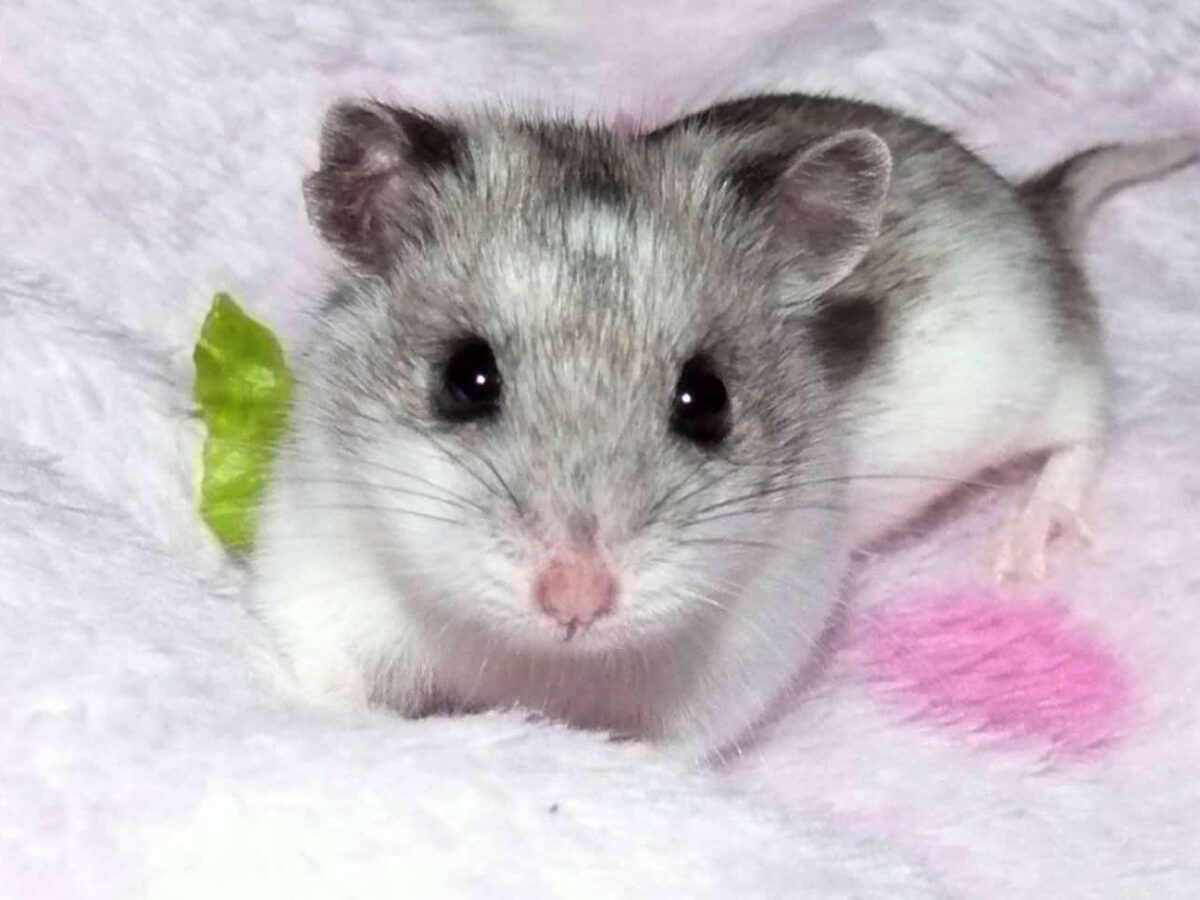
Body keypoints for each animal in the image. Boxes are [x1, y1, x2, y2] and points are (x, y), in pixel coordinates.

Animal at [251, 94, 1197, 756]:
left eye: (707, 400)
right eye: (464, 378)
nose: (576, 601)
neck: (543, 658)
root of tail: (1031, 205)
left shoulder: (734, 668)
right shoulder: (317, 575)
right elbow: (335, 685)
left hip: (1038, 370)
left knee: (1087, 419)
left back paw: (1024, 545)